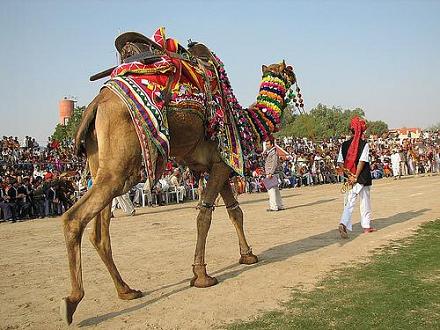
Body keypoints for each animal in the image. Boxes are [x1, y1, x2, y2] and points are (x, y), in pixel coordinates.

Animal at [59, 27, 302, 324]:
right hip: (121, 166)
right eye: (287, 69)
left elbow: (235, 211)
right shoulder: (222, 162)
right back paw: (73, 301)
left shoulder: (215, 165)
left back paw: (127, 290)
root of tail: (95, 105)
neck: (245, 122)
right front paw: (201, 275)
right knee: (74, 218)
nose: (295, 74)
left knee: (99, 233)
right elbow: (205, 215)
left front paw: (248, 255)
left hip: (102, 164)